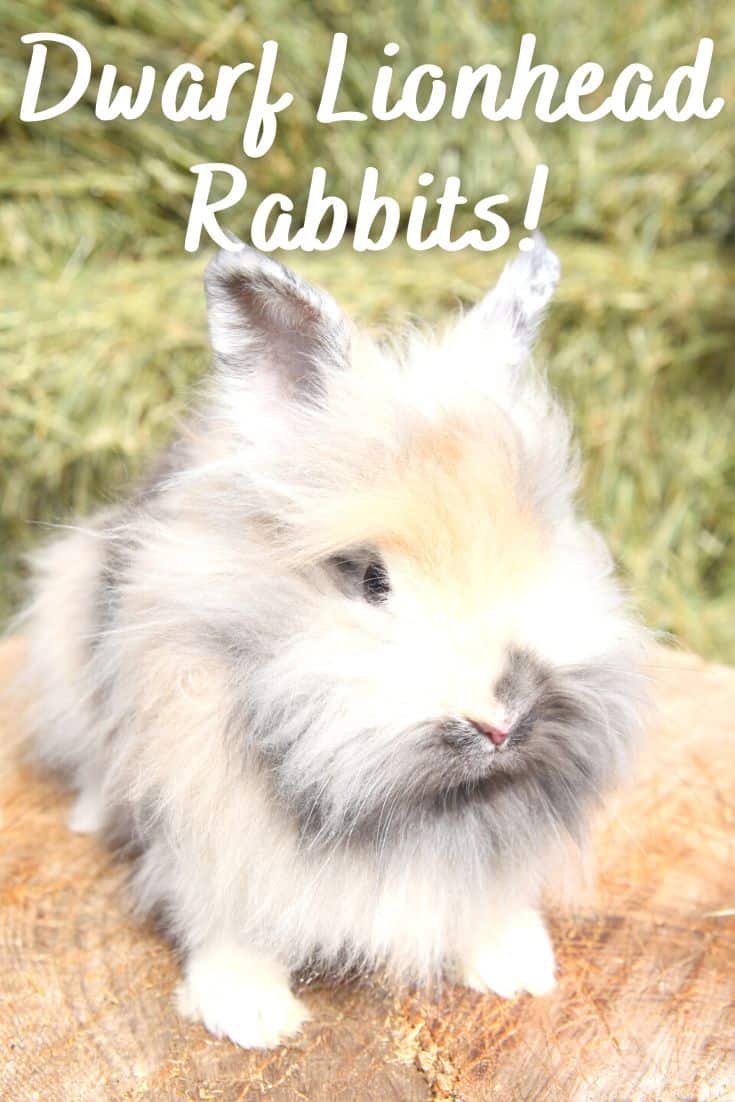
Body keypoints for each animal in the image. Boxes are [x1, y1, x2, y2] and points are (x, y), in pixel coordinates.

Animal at [19, 234, 647, 1049]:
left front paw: (516, 966)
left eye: (541, 547)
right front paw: (249, 1013)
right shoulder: (207, 818)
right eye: (369, 578)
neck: (410, 810)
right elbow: (225, 914)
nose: (502, 719)